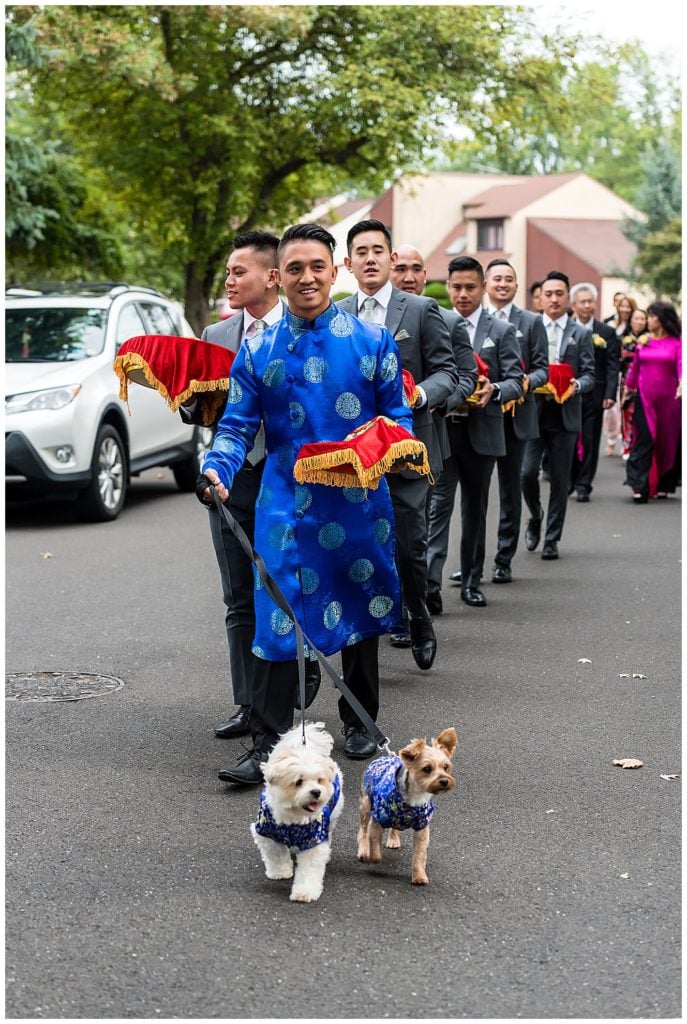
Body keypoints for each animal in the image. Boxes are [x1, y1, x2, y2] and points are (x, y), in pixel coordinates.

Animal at [249, 724, 344, 901]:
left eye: (319, 780)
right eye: (298, 782)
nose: (316, 792)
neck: (293, 816)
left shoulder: (313, 840)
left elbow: (309, 870)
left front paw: (305, 892)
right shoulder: (267, 833)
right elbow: (277, 856)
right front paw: (280, 872)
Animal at [358, 724, 458, 884]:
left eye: (446, 767)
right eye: (427, 769)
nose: (444, 781)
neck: (415, 797)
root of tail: (386, 756)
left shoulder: (422, 827)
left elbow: (419, 854)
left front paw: (419, 876)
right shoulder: (377, 819)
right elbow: (374, 846)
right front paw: (372, 858)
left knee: (394, 826)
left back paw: (393, 839)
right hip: (366, 804)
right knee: (363, 828)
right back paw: (363, 850)